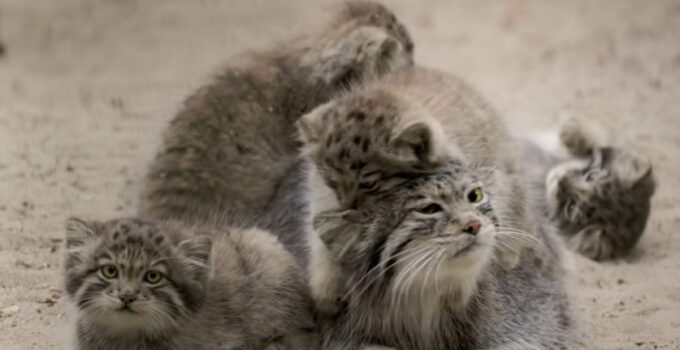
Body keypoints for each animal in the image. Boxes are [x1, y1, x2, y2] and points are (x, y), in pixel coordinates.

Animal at [300, 66, 572, 350]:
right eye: (332, 181)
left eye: (370, 184)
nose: (349, 209)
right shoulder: (319, 196)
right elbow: (318, 243)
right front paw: (325, 289)